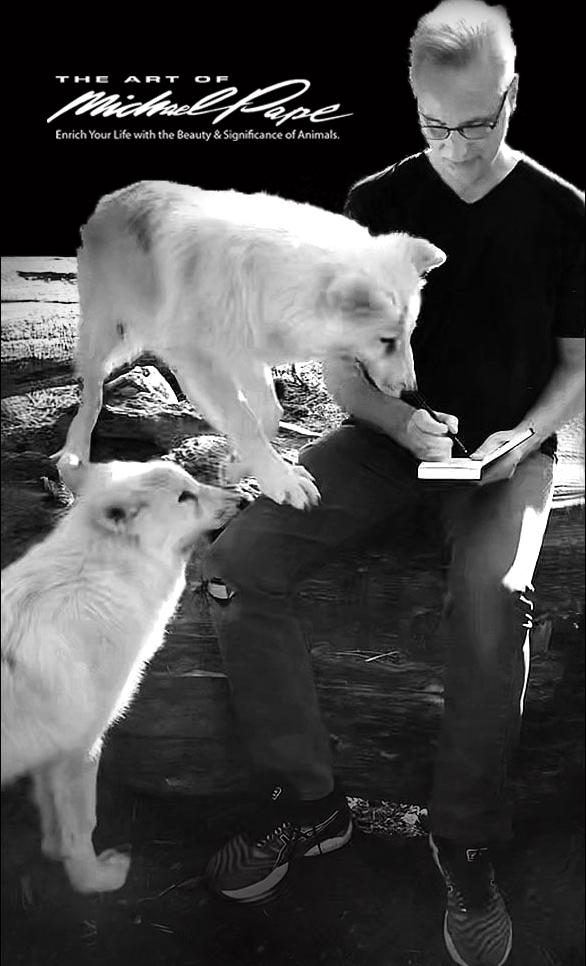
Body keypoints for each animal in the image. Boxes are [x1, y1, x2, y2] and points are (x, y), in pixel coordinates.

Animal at [57, 184, 444, 510]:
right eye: (386, 340)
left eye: (409, 333)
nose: (411, 391)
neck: (273, 282)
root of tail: (113, 197)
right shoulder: (209, 355)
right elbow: (246, 421)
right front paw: (279, 480)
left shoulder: (245, 354)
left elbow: (267, 414)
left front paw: (238, 464)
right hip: (106, 329)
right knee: (92, 391)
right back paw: (75, 454)